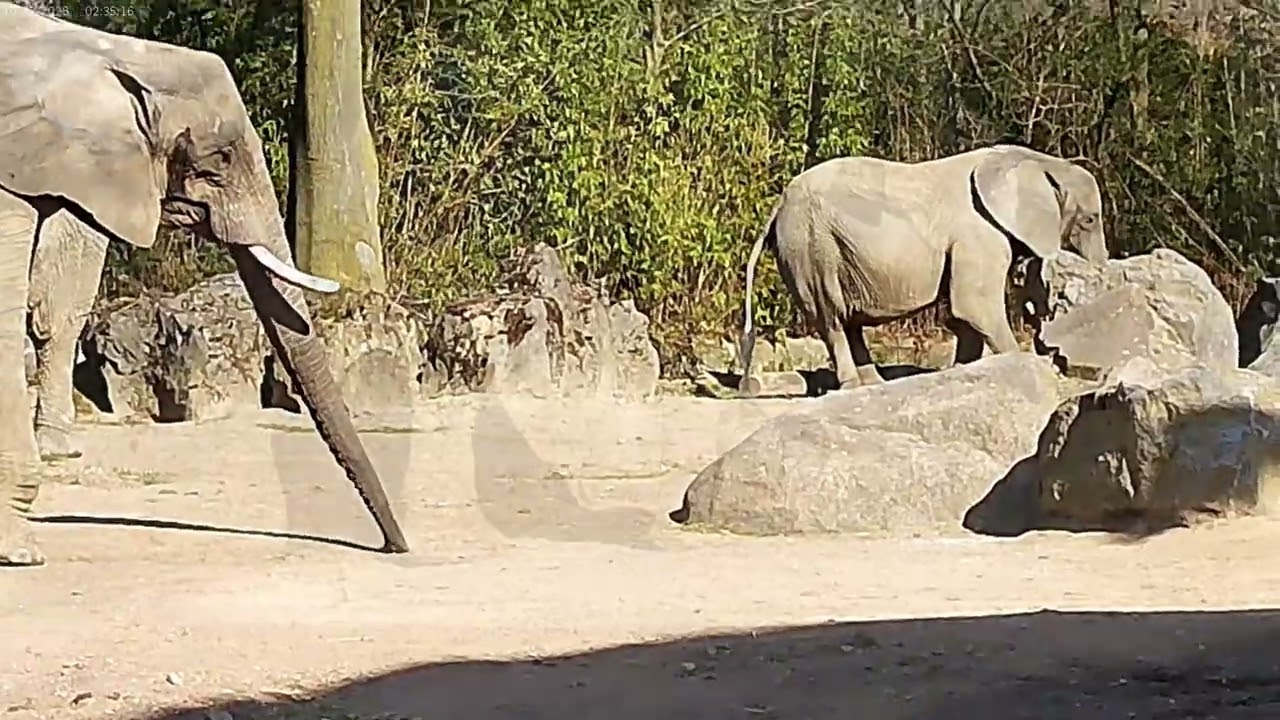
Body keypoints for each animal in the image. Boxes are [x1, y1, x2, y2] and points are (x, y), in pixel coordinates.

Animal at [738, 144, 1109, 396]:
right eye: (1090, 220)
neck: (1040, 162)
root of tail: (779, 203)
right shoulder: (979, 235)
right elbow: (973, 306)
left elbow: (966, 316)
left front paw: (964, 371)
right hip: (812, 247)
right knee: (832, 318)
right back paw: (853, 386)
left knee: (848, 321)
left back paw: (874, 385)